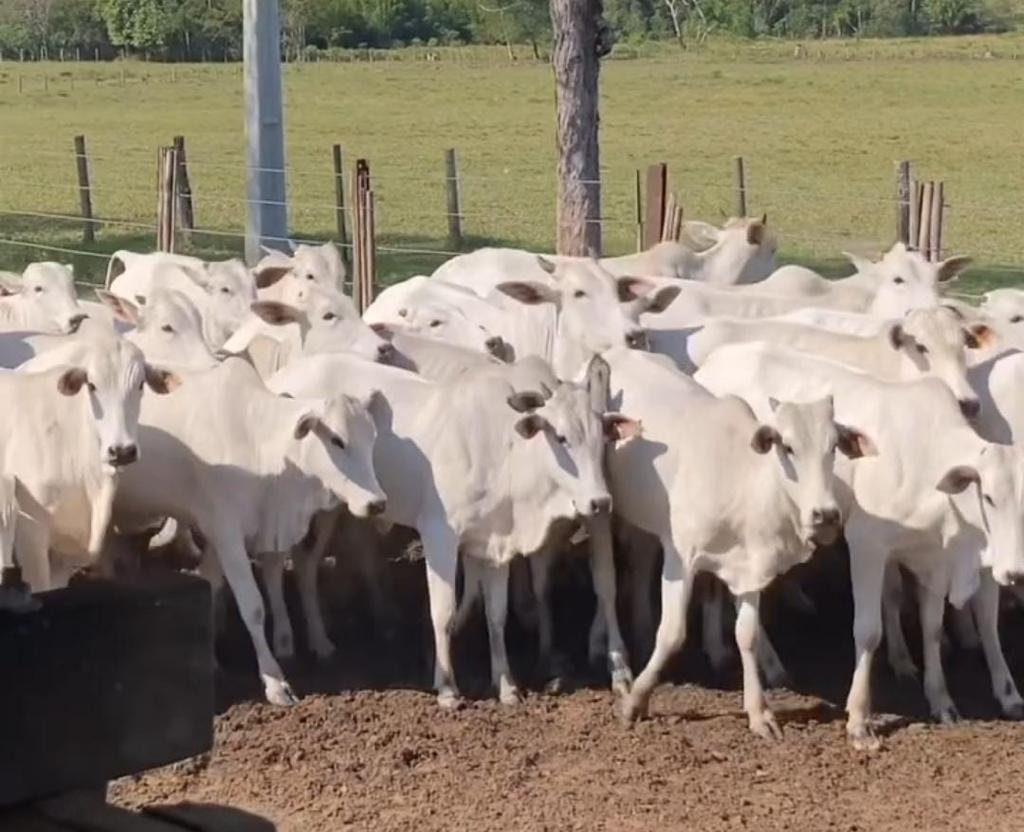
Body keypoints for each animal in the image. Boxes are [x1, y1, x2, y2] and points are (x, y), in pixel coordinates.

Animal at [110, 357, 386, 705]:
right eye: (338, 440)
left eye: (372, 439)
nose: (377, 503)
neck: (262, 446)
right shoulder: (227, 532)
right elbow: (252, 605)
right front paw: (275, 683)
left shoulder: (250, 530)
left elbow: (242, 581)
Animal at [267, 351, 638, 708]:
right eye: (561, 438)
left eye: (602, 439)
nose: (599, 502)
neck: (504, 453)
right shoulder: (439, 537)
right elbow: (442, 613)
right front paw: (447, 688)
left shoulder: (496, 544)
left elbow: (497, 616)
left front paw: (506, 686)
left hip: (333, 508)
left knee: (306, 565)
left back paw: (321, 642)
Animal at [695, 342, 1024, 749]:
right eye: (989, 497)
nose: (1015, 572)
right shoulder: (867, 544)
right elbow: (868, 632)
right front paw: (859, 720)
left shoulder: (934, 557)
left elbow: (937, 626)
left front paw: (945, 699)